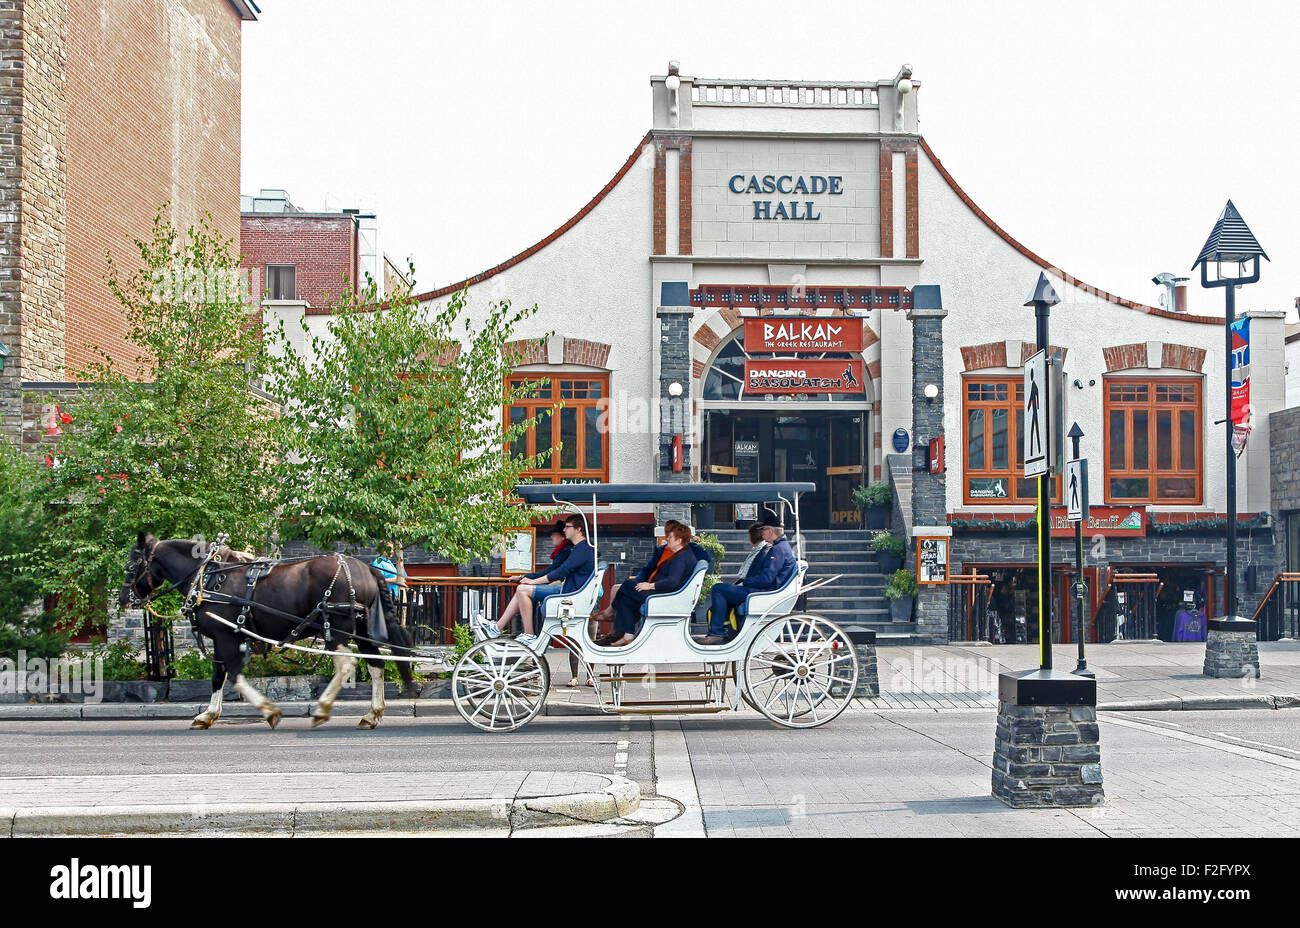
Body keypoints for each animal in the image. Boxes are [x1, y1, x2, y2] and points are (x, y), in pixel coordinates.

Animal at [121, 530, 413, 727]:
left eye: (131, 565)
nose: (124, 599)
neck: (209, 576)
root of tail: (365, 568)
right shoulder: (226, 636)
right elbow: (219, 675)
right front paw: (209, 714)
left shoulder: (224, 635)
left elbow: (231, 675)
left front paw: (268, 711)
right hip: (360, 629)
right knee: (375, 664)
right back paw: (372, 714)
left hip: (338, 628)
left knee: (347, 664)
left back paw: (323, 709)